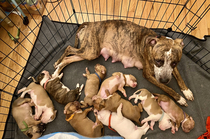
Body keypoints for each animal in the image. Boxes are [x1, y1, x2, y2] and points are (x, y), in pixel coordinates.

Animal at [54, 19, 194, 106]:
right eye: (158, 61)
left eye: (174, 63)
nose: (165, 80)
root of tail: (90, 23)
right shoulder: (148, 75)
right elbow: (167, 88)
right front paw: (179, 98)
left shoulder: (172, 69)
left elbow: (179, 76)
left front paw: (186, 91)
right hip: (90, 52)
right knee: (68, 48)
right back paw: (57, 64)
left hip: (88, 53)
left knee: (68, 59)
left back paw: (56, 71)